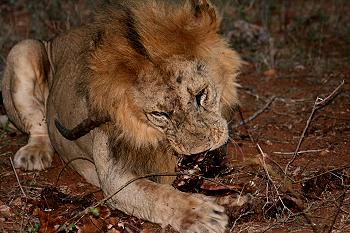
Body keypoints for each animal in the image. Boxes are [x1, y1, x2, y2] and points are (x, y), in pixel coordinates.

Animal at [0, 0, 241, 232]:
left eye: (200, 95)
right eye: (159, 114)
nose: (200, 151)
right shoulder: (115, 178)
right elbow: (159, 195)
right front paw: (202, 214)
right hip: (23, 49)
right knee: (38, 124)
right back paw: (35, 153)